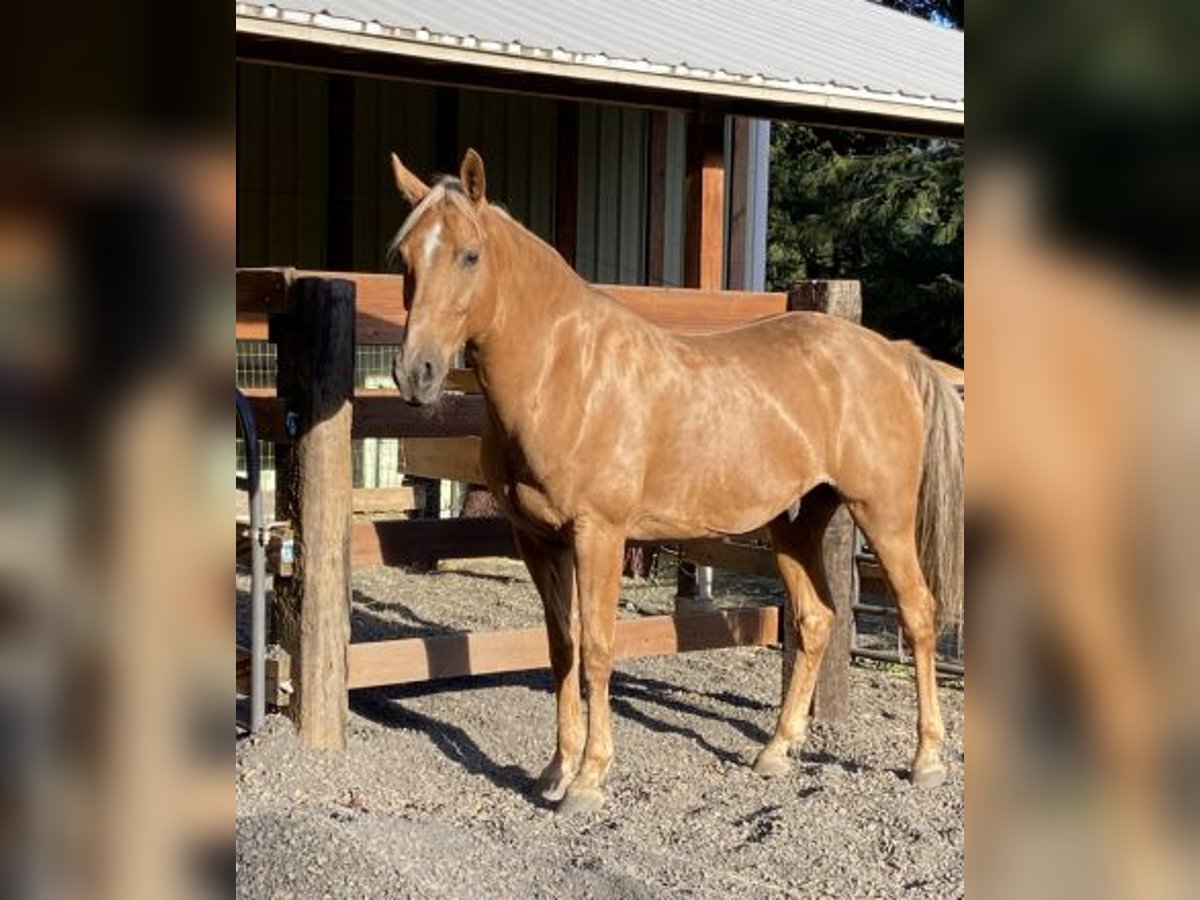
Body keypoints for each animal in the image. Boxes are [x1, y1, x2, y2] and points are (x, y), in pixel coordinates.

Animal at [388, 150, 969, 816]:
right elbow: (561, 648)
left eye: (469, 255)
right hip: (795, 524)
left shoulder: (600, 534)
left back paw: (926, 759)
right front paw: (554, 771)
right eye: (404, 257)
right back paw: (776, 751)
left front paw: (588, 779)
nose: (416, 373)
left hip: (885, 515)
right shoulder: (538, 540)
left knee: (918, 614)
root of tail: (892, 353)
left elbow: (597, 650)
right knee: (816, 620)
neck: (564, 373)